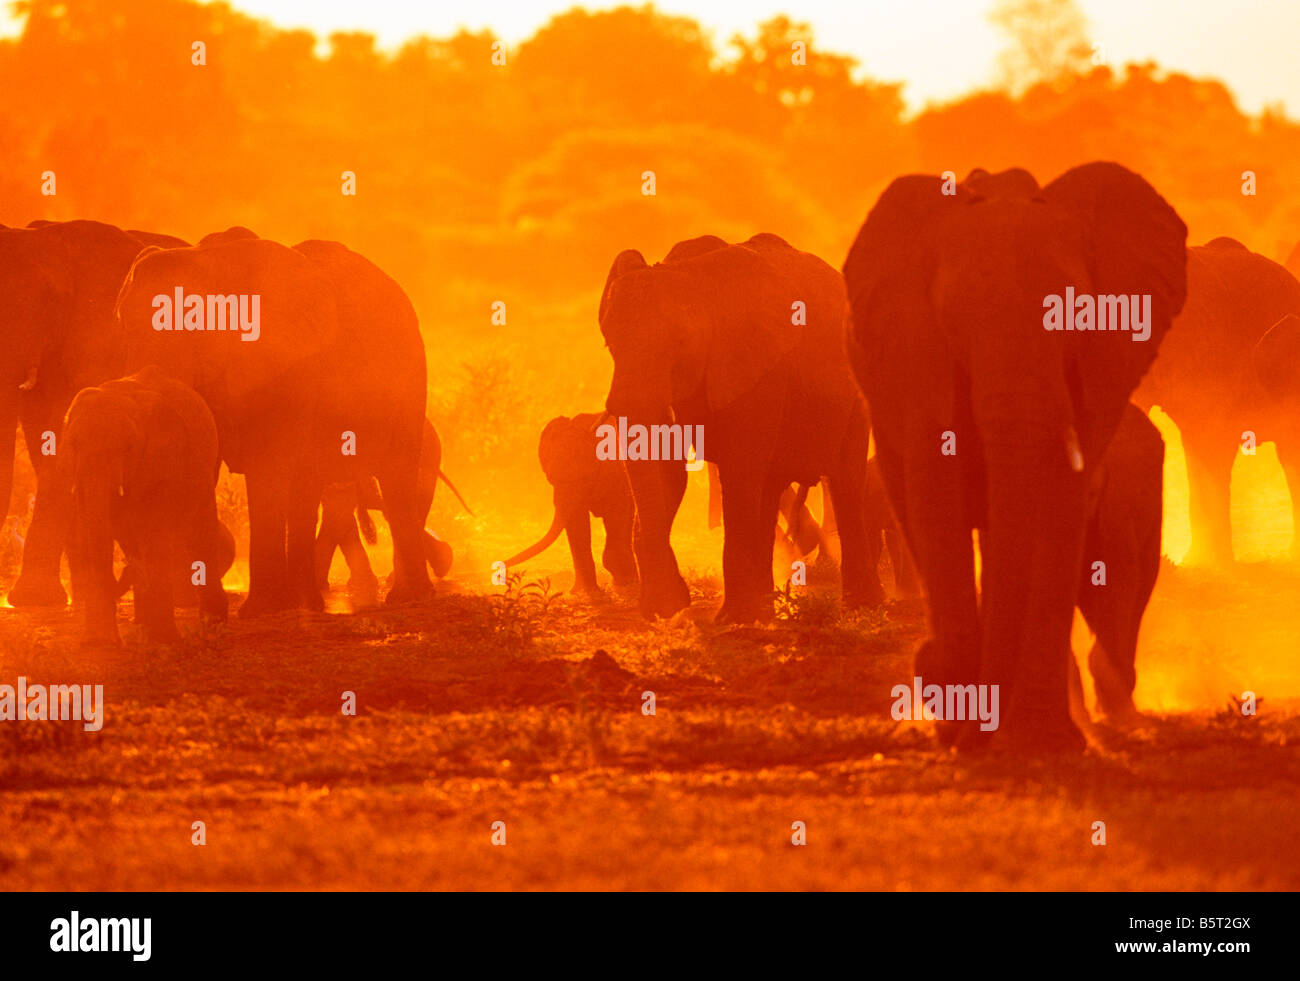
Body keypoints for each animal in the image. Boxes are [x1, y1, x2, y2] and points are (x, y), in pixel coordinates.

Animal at [62, 363, 227, 649]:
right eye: (73, 444)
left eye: (128, 447)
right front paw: (99, 644)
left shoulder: (162, 461)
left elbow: (153, 533)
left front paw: (165, 642)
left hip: (205, 465)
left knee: (199, 533)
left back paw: (212, 624)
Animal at [114, 233, 428, 613]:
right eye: (124, 328)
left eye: (197, 328)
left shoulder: (290, 368)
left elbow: (267, 466)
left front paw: (259, 610)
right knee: (308, 487)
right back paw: (307, 602)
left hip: (409, 380)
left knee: (397, 479)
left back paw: (407, 597)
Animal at [603, 232, 878, 621]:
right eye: (609, 343)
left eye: (681, 343)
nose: (666, 611)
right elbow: (670, 471)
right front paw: (671, 608)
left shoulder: (755, 365)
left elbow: (738, 469)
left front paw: (731, 620)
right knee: (771, 484)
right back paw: (764, 609)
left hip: (855, 388)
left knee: (844, 480)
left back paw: (861, 608)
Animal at [842, 163, 1190, 753]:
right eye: (953, 322)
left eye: (1080, 318)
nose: (976, 734)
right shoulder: (918, 351)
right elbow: (936, 493)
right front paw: (963, 715)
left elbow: (1063, 502)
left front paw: (1040, 740)